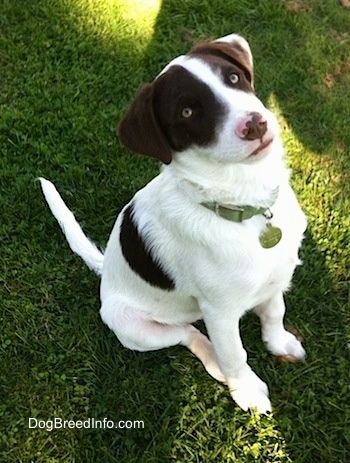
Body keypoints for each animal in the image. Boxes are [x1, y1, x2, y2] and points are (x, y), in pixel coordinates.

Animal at [40, 34, 306, 416]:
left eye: (234, 78)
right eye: (187, 112)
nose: (255, 123)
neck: (243, 203)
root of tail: (106, 272)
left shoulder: (277, 275)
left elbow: (274, 311)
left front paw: (279, 342)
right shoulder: (219, 311)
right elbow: (235, 353)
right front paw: (247, 390)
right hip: (133, 327)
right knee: (190, 335)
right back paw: (216, 365)